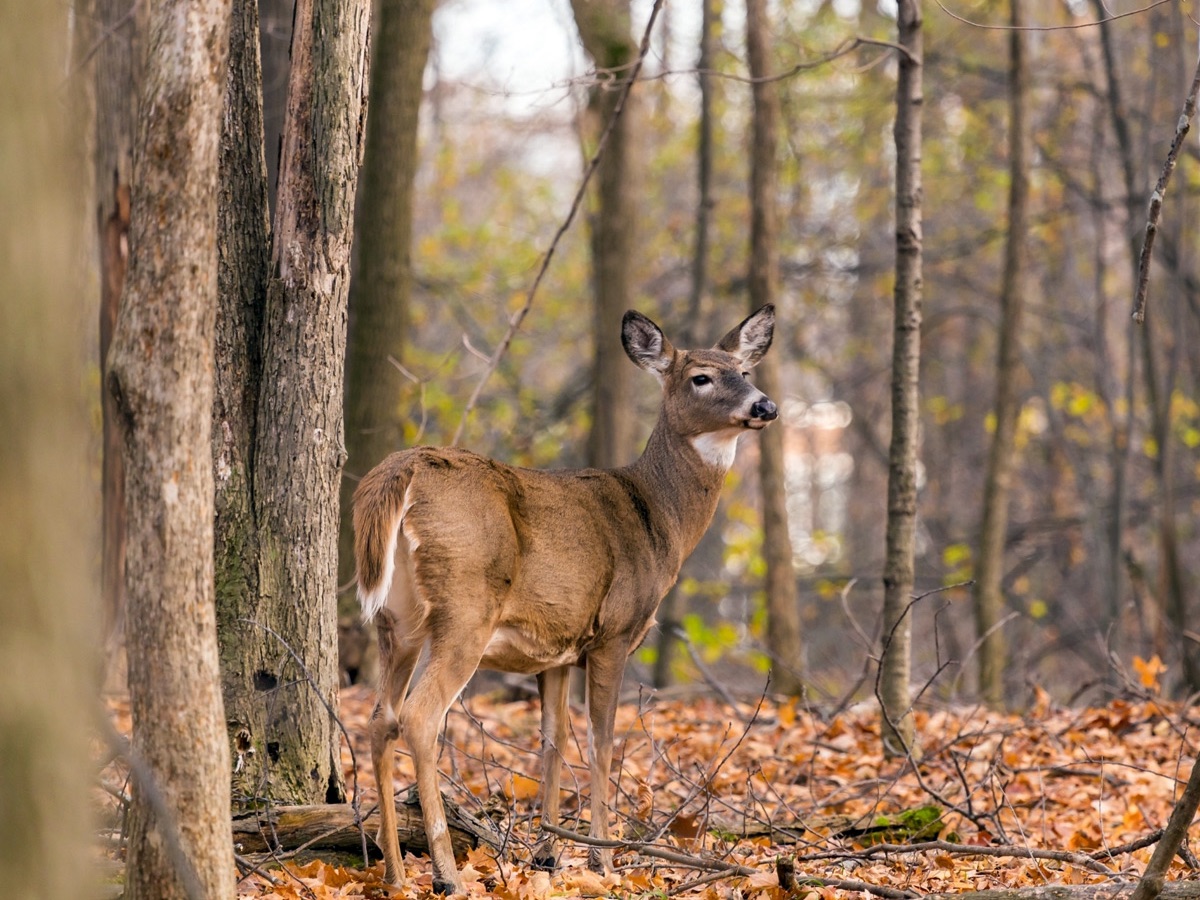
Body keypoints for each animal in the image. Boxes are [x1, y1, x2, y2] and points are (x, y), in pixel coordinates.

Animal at [352, 304, 777, 897]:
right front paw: (603, 859)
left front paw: (548, 855)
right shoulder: (614, 633)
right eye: (701, 377)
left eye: (744, 369)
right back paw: (446, 875)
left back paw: (393, 872)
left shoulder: (552, 650)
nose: (765, 405)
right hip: (464, 606)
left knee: (379, 718)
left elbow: (552, 741)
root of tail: (400, 472)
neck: (659, 520)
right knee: (419, 715)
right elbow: (602, 740)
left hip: (398, 620)